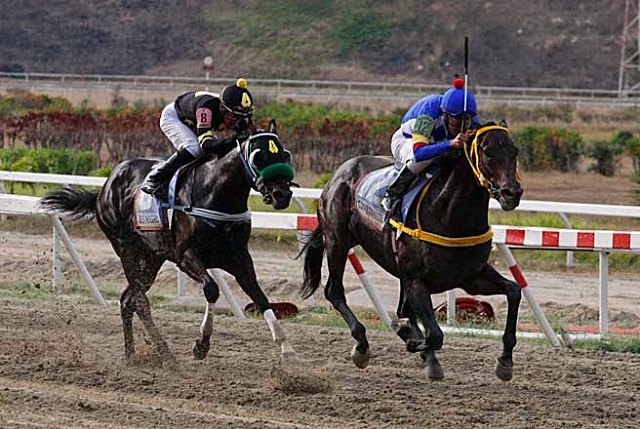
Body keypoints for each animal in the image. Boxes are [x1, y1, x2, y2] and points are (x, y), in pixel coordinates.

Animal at [42, 119, 298, 364]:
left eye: (285, 155)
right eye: (259, 156)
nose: (282, 195)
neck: (216, 194)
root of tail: (105, 187)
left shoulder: (240, 258)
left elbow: (260, 296)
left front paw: (287, 350)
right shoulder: (185, 257)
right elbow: (212, 289)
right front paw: (201, 345)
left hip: (151, 257)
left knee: (128, 299)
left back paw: (133, 355)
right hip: (127, 249)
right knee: (139, 300)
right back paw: (164, 354)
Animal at [300, 122, 524, 380]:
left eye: (515, 150)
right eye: (487, 152)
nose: (512, 193)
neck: (449, 215)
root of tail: (338, 174)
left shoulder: (472, 277)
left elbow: (514, 291)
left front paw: (505, 361)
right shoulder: (416, 280)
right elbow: (434, 335)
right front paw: (410, 337)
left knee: (401, 308)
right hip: (337, 241)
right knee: (334, 291)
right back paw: (362, 346)